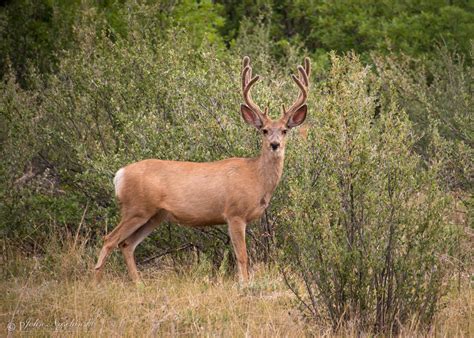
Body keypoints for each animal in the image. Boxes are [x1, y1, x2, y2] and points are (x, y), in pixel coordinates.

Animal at [96, 56, 312, 284]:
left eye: (285, 130)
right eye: (264, 130)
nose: (274, 144)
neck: (256, 177)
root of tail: (120, 174)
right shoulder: (234, 213)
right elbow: (242, 256)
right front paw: (245, 284)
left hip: (154, 215)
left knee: (126, 244)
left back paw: (139, 285)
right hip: (136, 208)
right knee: (109, 239)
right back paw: (97, 281)